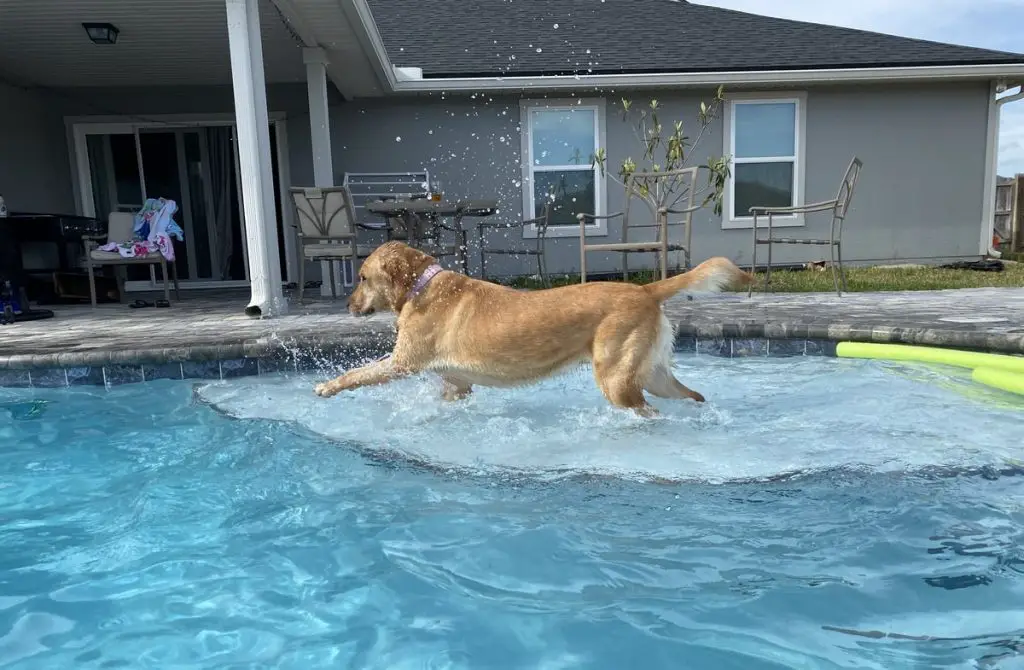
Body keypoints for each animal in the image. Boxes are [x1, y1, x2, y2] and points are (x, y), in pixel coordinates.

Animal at [315, 241, 757, 417]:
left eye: (362, 278)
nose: (346, 305)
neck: (422, 285)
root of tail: (645, 288)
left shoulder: (401, 363)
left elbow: (356, 373)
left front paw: (326, 386)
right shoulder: (457, 386)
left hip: (617, 380)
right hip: (653, 375)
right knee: (693, 396)